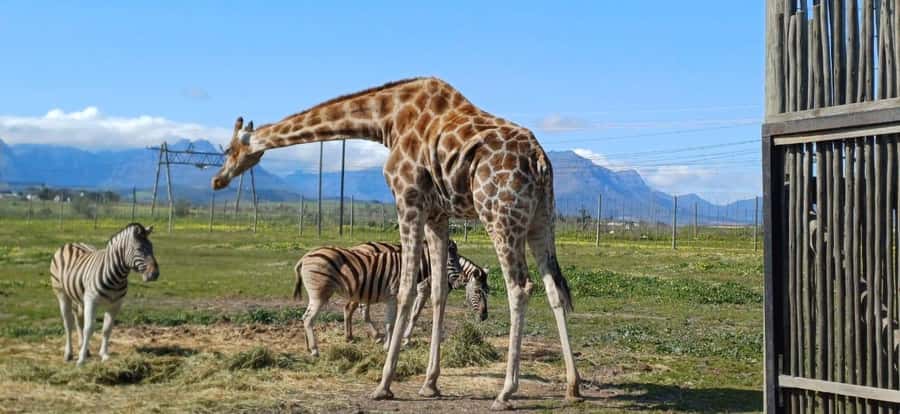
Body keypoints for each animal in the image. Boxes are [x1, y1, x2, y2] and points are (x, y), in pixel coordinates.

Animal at [211, 77, 582, 410]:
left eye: (229, 150)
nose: (217, 180)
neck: (386, 119)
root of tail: (540, 159)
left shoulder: (408, 199)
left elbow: (404, 290)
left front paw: (384, 384)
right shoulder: (437, 214)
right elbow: (437, 292)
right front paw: (430, 383)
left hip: (499, 216)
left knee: (520, 287)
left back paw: (506, 392)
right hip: (541, 219)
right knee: (554, 288)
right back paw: (573, 386)